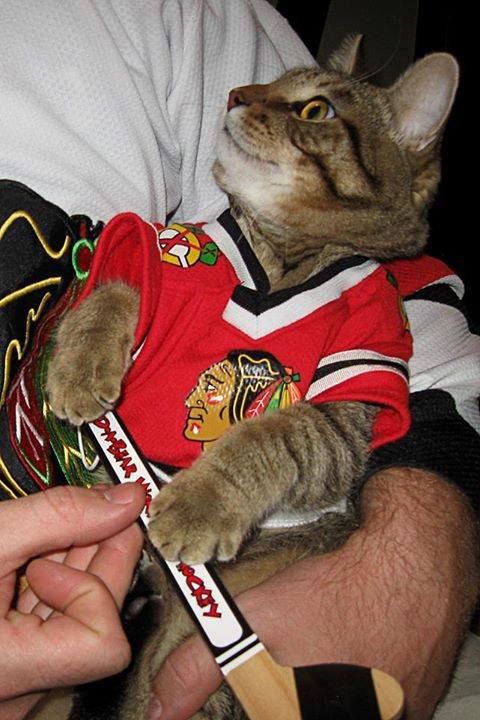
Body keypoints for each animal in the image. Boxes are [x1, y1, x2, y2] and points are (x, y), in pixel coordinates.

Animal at [46, 38, 462, 720]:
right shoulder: (161, 258)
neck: (280, 256)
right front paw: (83, 364)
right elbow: (117, 287)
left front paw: (198, 499)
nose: (236, 94)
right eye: (268, 81)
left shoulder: (350, 397)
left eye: (316, 109)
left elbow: (269, 438)